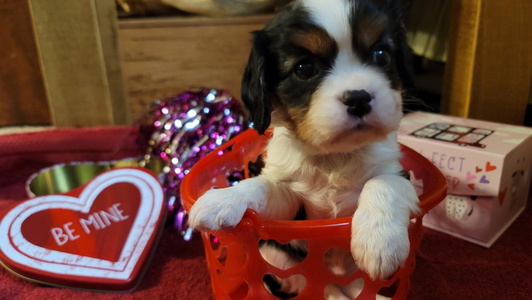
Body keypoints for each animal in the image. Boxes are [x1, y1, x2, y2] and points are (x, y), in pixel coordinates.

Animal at [190, 0, 420, 296]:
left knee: (355, 286)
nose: (359, 98)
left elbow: (383, 183)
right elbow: (261, 186)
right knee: (324, 288)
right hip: (278, 258)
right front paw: (222, 199)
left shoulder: (398, 172)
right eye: (304, 69)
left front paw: (379, 242)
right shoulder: (290, 206)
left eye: (381, 55)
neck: (335, 156)